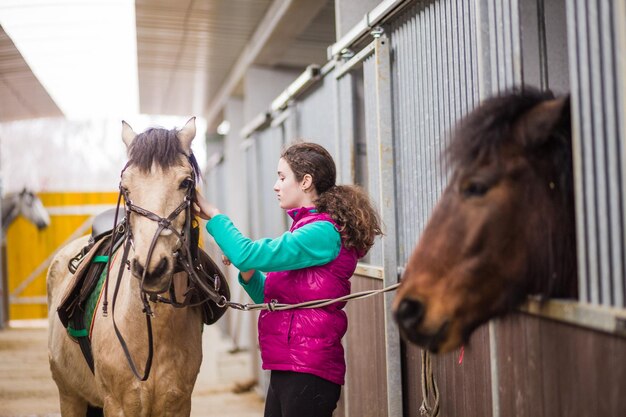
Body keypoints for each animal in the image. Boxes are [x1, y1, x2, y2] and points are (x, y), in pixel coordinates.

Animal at [49, 118, 205, 414]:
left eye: (186, 182)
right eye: (126, 187)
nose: (151, 269)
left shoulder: (179, 405)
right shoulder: (119, 405)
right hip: (69, 396)